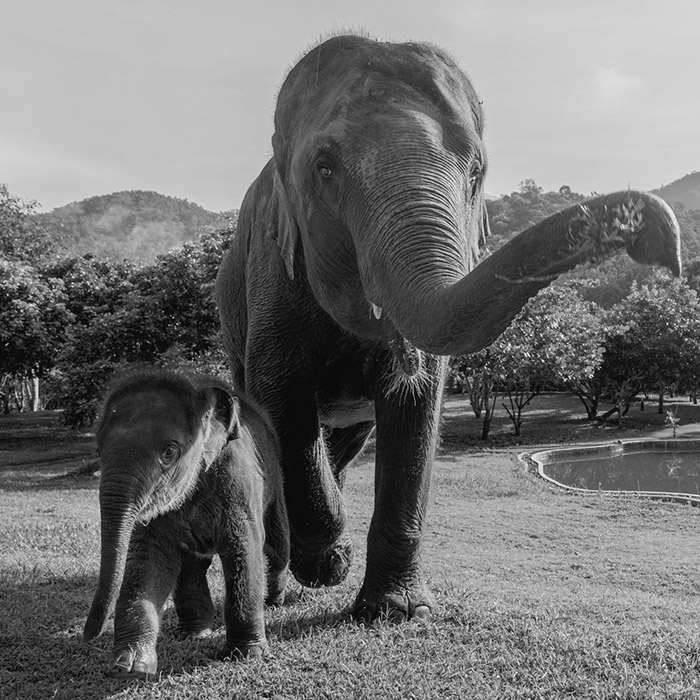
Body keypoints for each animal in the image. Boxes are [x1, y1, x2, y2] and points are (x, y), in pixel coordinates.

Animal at [82, 366, 290, 680]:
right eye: (97, 450)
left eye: (169, 452)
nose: (88, 635)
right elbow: (149, 560)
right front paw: (129, 667)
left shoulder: (238, 483)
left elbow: (244, 550)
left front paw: (246, 655)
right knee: (191, 568)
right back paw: (193, 634)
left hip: (275, 481)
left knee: (277, 550)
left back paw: (272, 601)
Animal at [216, 35, 680, 620]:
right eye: (324, 168)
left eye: (476, 168)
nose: (657, 237)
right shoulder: (273, 269)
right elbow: (280, 394)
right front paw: (329, 563)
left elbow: (417, 400)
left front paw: (396, 610)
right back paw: (281, 586)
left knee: (348, 437)